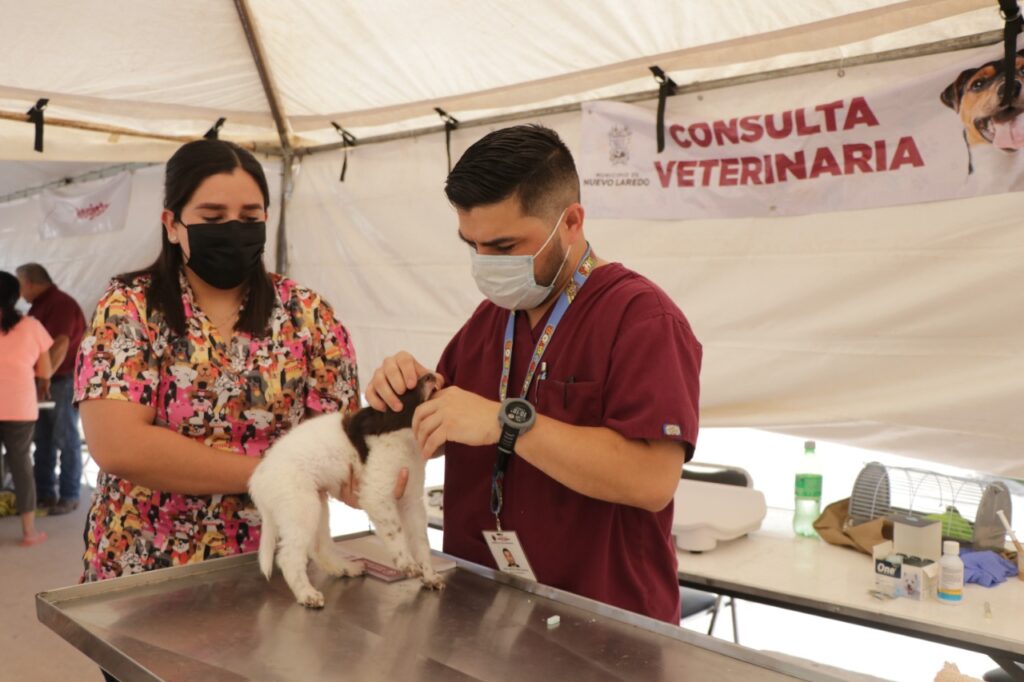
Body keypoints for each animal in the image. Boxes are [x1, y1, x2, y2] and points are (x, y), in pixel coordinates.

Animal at [251, 372, 444, 606]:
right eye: (403, 389)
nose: (431, 375)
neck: (405, 441)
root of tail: (259, 479)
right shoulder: (378, 497)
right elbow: (396, 532)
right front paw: (406, 563)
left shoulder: (411, 502)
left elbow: (422, 542)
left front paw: (429, 575)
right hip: (301, 507)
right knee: (289, 557)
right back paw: (306, 594)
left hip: (317, 504)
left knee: (319, 549)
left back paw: (345, 568)